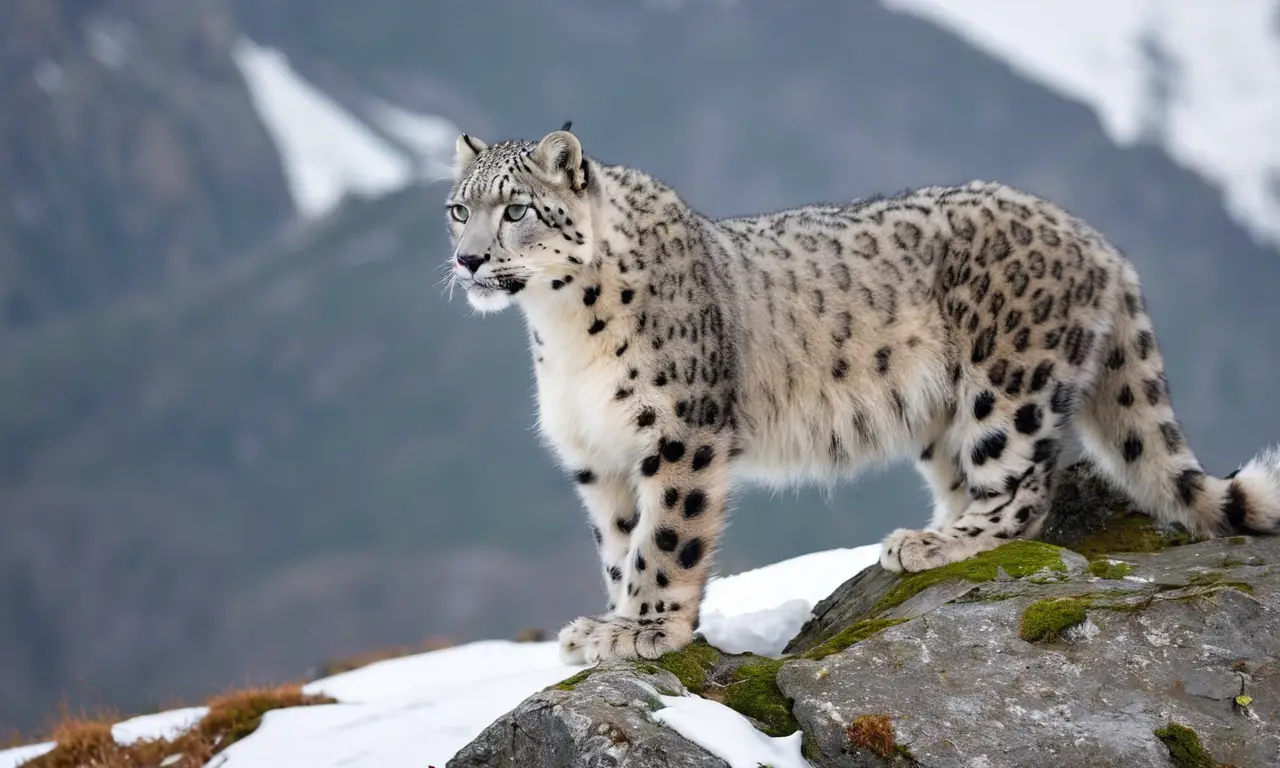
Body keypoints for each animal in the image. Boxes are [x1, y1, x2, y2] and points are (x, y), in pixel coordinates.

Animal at [442, 125, 1280, 665]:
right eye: (458, 209)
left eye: (516, 209)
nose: (468, 259)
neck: (558, 330)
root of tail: (1096, 240)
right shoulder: (599, 457)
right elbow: (619, 547)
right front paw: (610, 619)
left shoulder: (681, 431)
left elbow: (665, 539)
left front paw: (643, 629)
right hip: (944, 415)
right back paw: (926, 534)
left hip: (1006, 386)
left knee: (1022, 491)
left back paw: (936, 543)